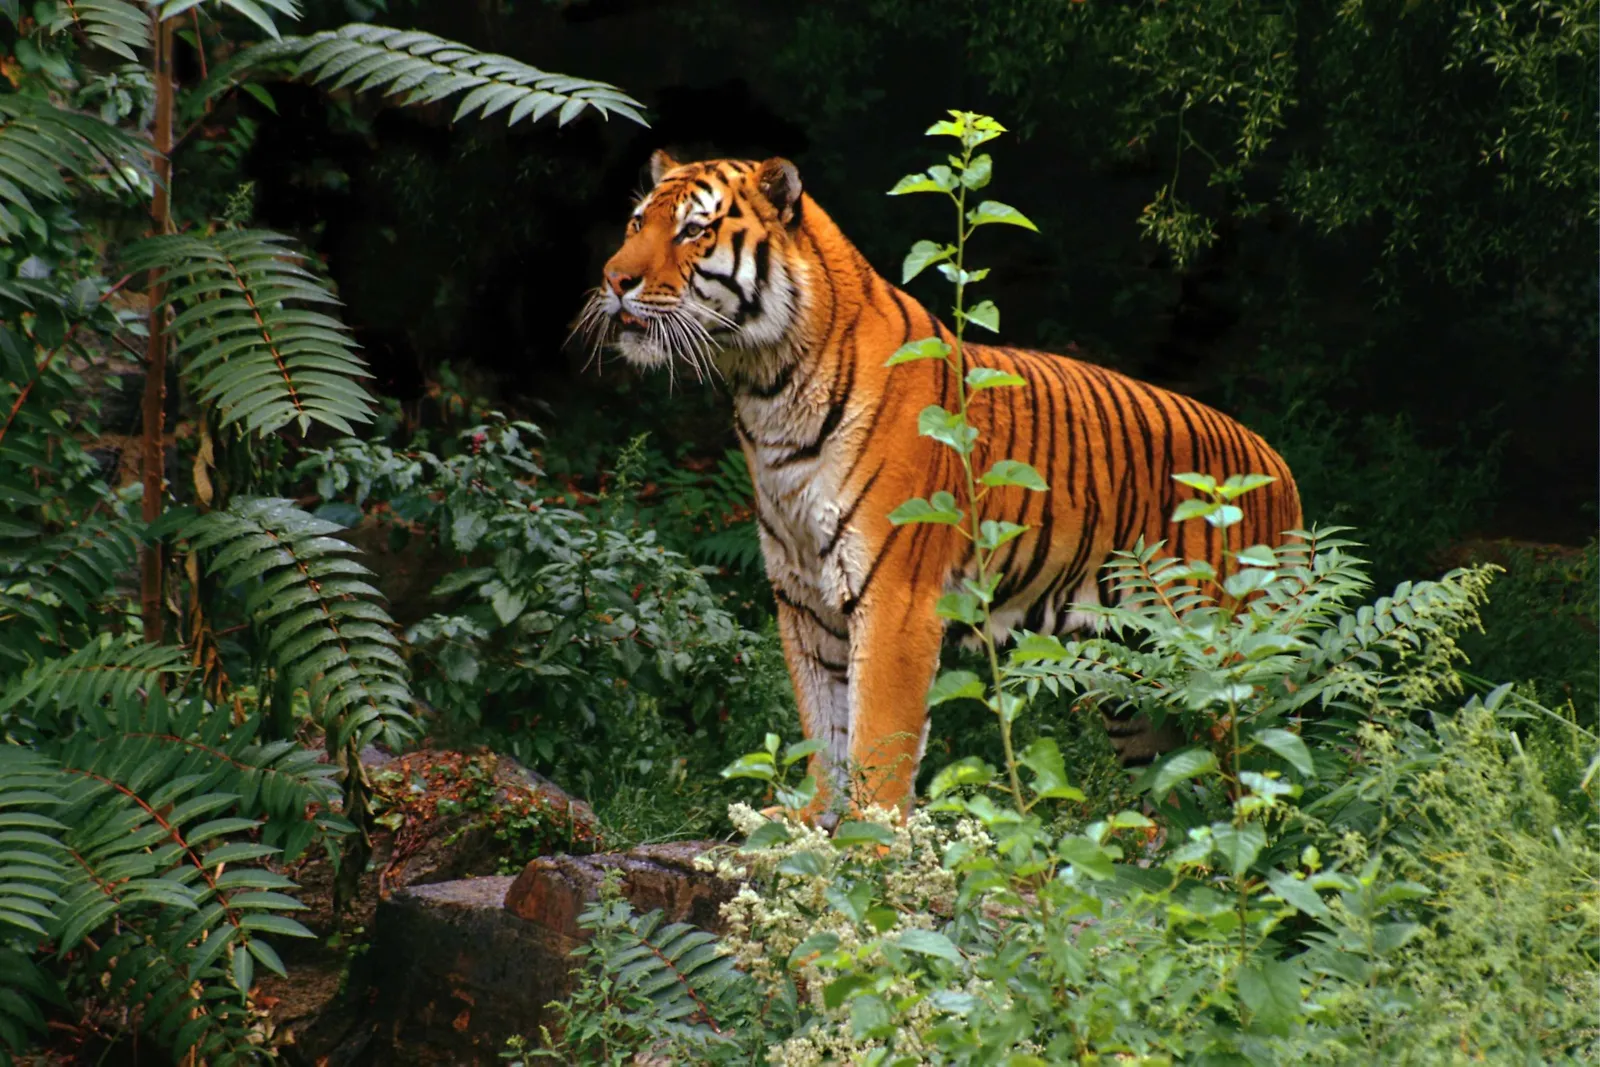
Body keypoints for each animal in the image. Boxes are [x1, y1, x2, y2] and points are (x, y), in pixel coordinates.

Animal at [578, 151, 1302, 825]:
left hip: (1225, 662)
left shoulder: (896, 597)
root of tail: (1280, 466)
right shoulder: (803, 600)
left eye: (694, 230)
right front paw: (812, 824)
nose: (613, 279)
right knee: (1178, 790)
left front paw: (871, 842)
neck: (767, 388)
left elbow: (877, 737)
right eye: (637, 223)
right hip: (1134, 680)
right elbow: (823, 726)